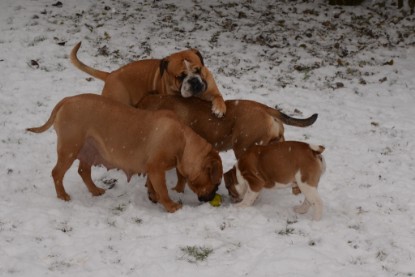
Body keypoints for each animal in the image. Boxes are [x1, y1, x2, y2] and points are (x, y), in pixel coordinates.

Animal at [27, 93, 223, 211]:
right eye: (217, 182)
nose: (214, 195)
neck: (184, 142)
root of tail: (67, 99)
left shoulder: (152, 170)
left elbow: (153, 185)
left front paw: (153, 196)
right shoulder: (156, 168)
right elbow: (163, 189)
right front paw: (170, 205)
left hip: (89, 150)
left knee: (83, 171)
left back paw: (95, 190)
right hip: (69, 149)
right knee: (57, 173)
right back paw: (62, 196)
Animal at [71, 42, 228, 116]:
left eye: (199, 70)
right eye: (180, 77)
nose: (194, 81)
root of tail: (110, 75)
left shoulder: (211, 88)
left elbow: (218, 96)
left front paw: (219, 108)